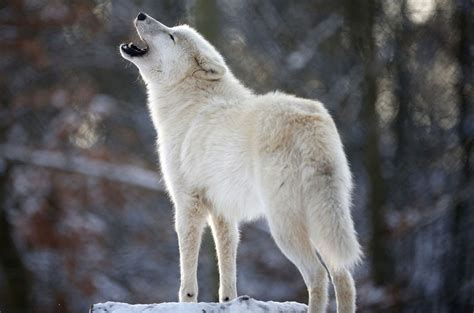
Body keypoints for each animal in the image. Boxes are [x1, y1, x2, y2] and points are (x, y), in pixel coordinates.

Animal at [120, 12, 362, 312]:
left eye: (171, 36)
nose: (141, 14)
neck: (189, 103)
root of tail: (310, 122)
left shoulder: (188, 203)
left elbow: (187, 271)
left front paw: (186, 301)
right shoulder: (222, 210)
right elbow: (227, 264)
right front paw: (228, 301)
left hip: (283, 227)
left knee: (318, 275)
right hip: (322, 222)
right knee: (344, 277)